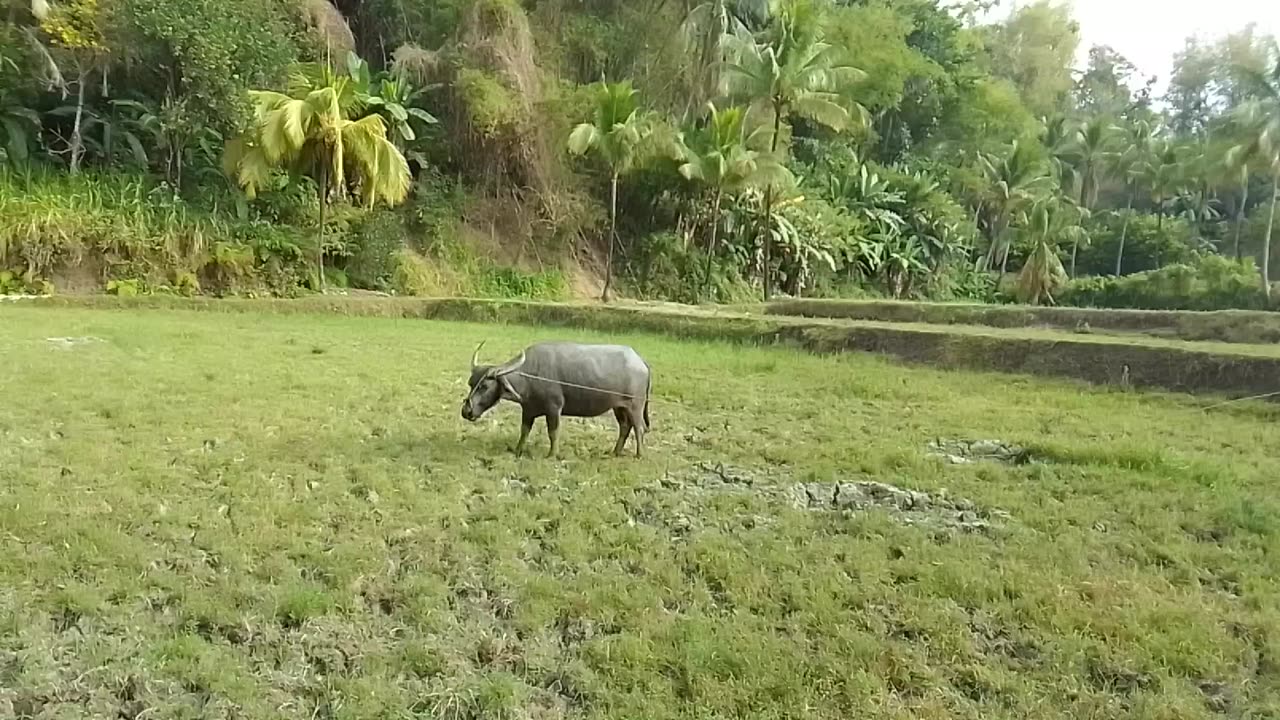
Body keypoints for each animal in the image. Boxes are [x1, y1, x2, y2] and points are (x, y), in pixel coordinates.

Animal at [463, 340, 655, 453]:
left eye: (485, 386)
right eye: (471, 383)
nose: (466, 411)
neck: (531, 374)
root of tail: (641, 361)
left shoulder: (554, 408)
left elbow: (553, 432)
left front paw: (552, 454)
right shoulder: (528, 410)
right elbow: (524, 431)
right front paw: (517, 450)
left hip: (635, 406)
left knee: (639, 428)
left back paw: (639, 455)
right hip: (619, 407)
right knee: (625, 427)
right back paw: (615, 452)